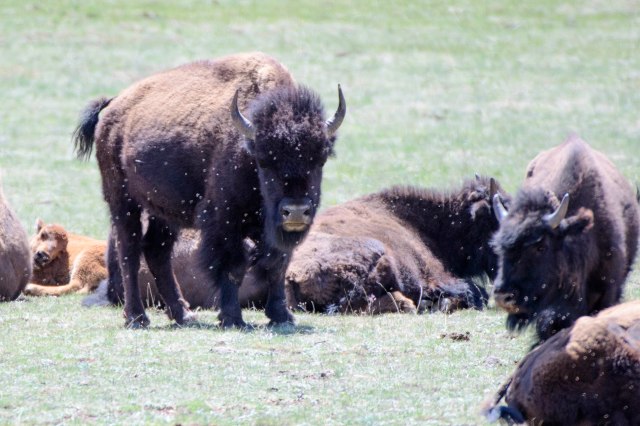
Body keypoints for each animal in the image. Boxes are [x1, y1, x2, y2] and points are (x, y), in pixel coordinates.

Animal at [73, 52, 345, 328]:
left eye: (320, 158)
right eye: (264, 160)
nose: (296, 211)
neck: (246, 146)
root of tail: (112, 107)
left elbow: (278, 264)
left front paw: (281, 316)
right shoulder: (225, 222)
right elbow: (234, 266)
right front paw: (232, 318)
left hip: (164, 211)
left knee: (157, 251)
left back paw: (183, 315)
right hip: (122, 200)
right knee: (128, 249)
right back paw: (137, 318)